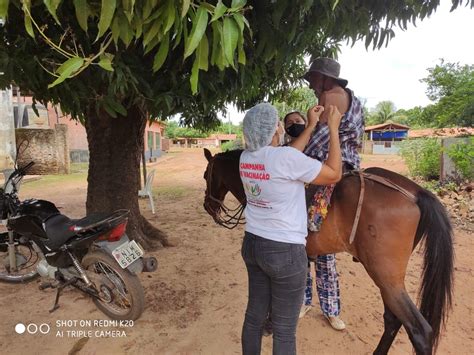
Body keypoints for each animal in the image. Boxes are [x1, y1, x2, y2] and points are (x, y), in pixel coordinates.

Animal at [202, 148, 454, 355]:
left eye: (206, 175)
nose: (208, 206)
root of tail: (416, 192)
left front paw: (269, 325)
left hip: (387, 278)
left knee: (419, 331)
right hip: (388, 281)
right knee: (393, 319)